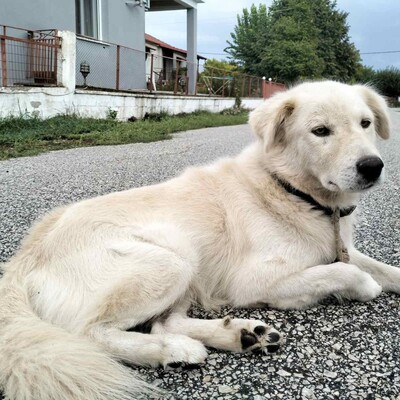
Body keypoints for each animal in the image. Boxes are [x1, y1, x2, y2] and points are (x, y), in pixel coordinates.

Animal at [0, 79, 400, 398]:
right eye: (320, 131)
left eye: (365, 123)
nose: (372, 166)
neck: (293, 191)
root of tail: (25, 255)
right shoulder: (256, 281)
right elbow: (342, 273)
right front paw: (364, 286)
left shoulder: (342, 248)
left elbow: (381, 269)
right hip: (172, 257)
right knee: (89, 334)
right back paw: (174, 351)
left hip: (185, 266)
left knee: (165, 321)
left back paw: (242, 335)